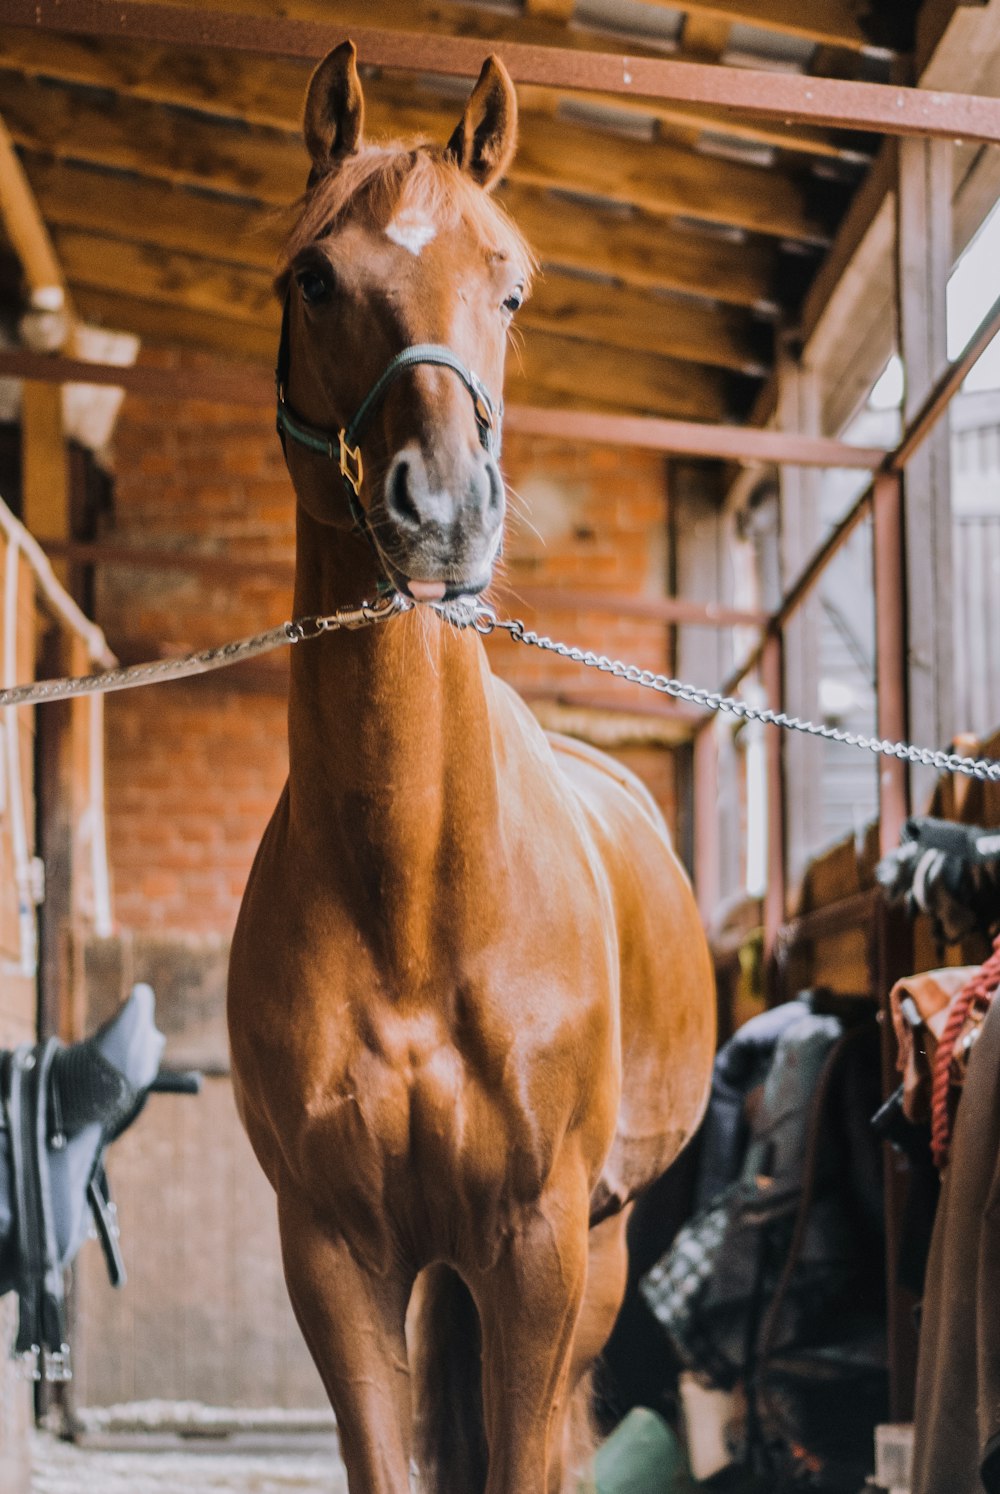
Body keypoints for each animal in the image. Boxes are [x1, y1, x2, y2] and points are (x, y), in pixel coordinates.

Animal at [228, 46, 714, 1494]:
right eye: (313, 274)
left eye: (512, 284)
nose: (442, 510)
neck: (417, 890)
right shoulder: (336, 1251)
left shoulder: (539, 1242)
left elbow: (525, 1451)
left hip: (596, 1247)